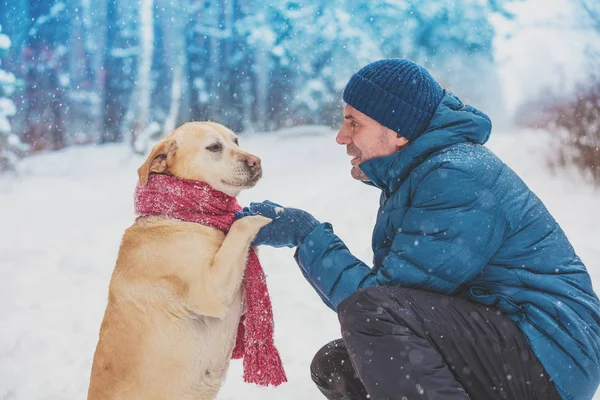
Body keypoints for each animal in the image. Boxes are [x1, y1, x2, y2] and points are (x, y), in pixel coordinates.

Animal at [86, 122, 270, 400]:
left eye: (236, 141)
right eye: (214, 147)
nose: (256, 161)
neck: (182, 217)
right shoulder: (211, 291)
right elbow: (241, 224)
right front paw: (270, 216)